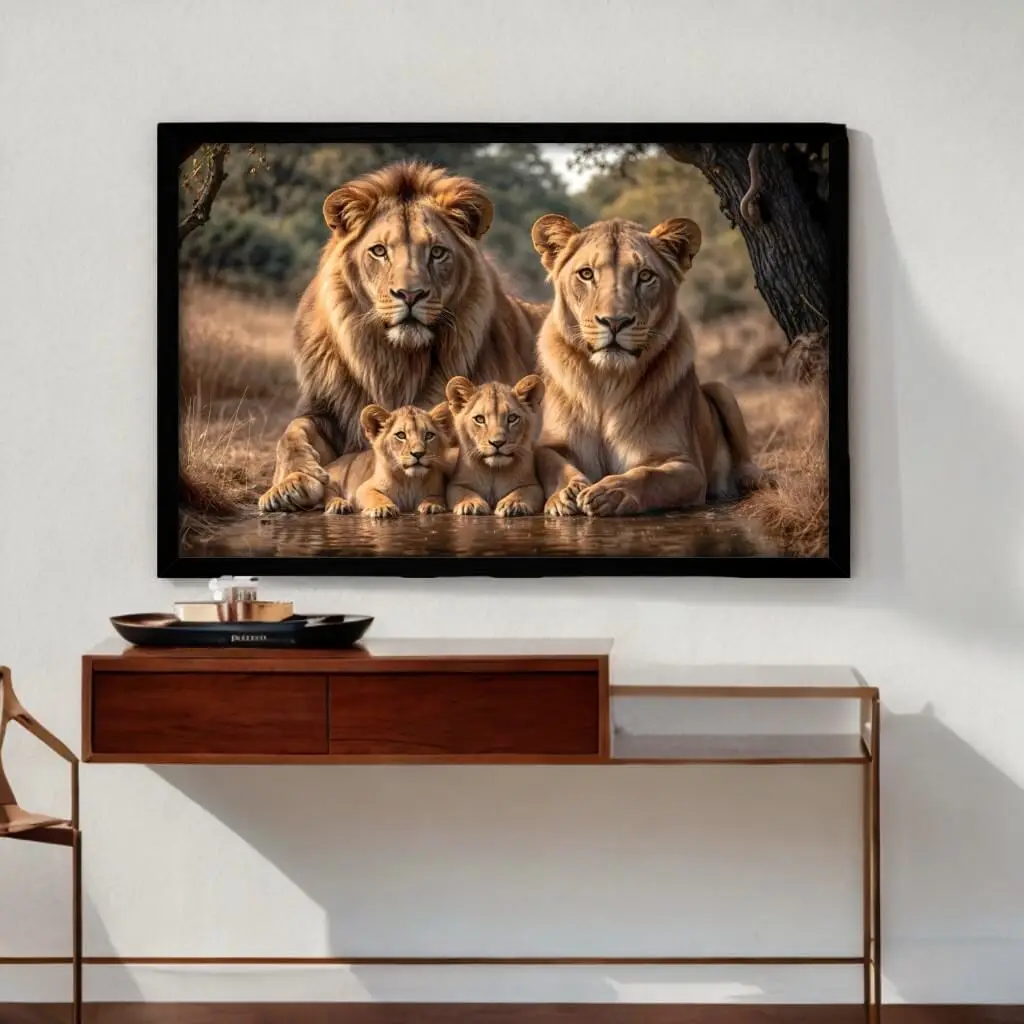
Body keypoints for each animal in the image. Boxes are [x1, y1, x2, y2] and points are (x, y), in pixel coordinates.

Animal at [322, 402, 455, 519]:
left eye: (429, 435)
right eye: (401, 435)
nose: (418, 454)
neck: (409, 481)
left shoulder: (438, 490)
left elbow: (436, 496)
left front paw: (431, 504)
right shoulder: (363, 488)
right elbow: (375, 495)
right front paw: (383, 507)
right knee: (328, 492)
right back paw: (339, 505)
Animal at [444, 374, 551, 517]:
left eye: (512, 418)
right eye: (480, 419)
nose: (497, 443)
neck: (494, 471)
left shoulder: (533, 485)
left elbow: (521, 492)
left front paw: (512, 504)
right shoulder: (456, 484)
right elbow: (463, 492)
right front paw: (471, 503)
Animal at [530, 213, 766, 517]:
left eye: (645, 276)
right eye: (586, 274)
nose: (615, 322)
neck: (606, 381)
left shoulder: (687, 467)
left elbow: (650, 475)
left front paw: (611, 492)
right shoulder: (550, 443)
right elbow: (550, 460)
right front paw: (566, 493)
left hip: (721, 390)